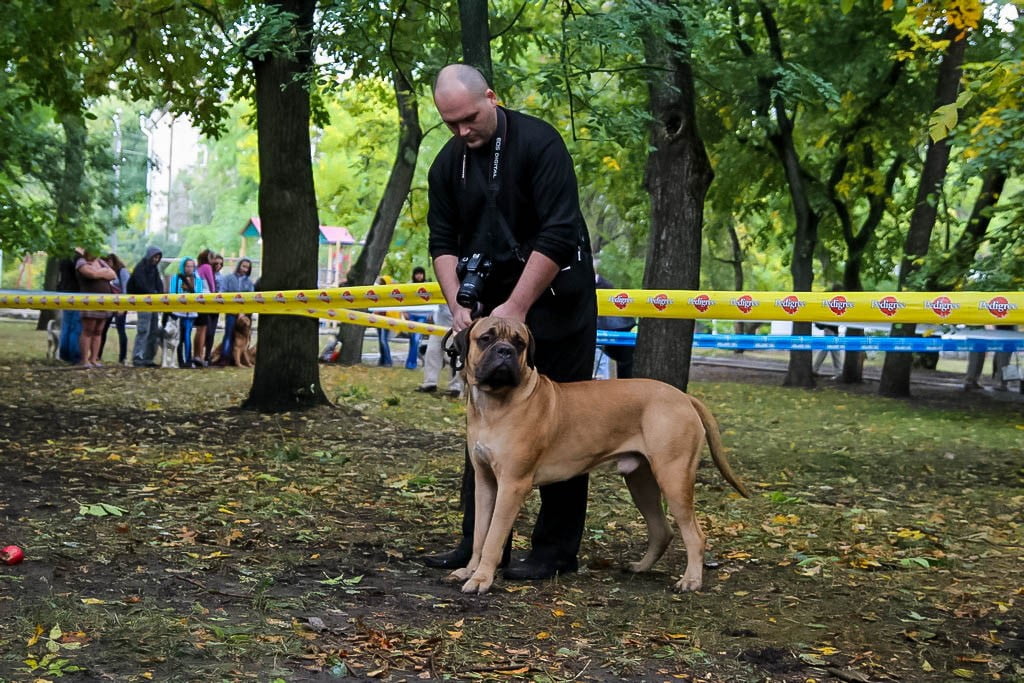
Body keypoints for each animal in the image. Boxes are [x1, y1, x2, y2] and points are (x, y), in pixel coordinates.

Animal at [444, 317, 749, 593]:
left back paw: (691, 581)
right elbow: (480, 534)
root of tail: (683, 397)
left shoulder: (512, 485)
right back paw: (640, 567)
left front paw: (482, 579)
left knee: (695, 535)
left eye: (519, 343)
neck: (495, 404)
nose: (505, 351)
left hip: (674, 478)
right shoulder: (486, 482)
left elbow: (493, 537)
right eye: (486, 338)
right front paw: (470, 570)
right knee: (663, 530)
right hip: (641, 481)